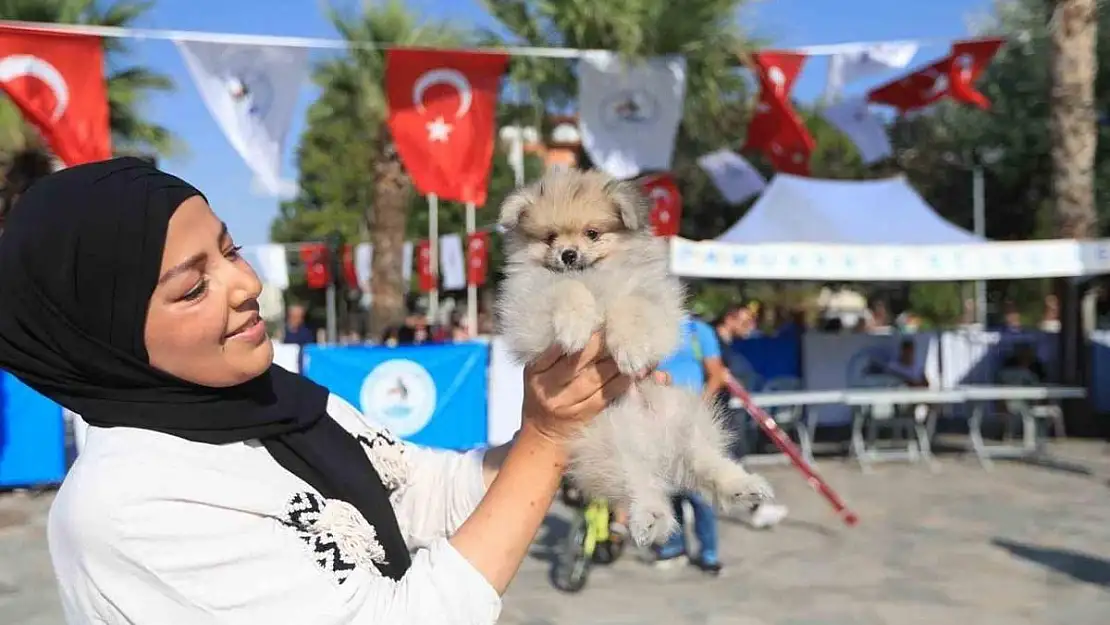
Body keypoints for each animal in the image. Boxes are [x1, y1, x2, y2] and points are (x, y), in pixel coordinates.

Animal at [497, 168, 772, 546]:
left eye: (592, 233)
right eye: (550, 237)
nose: (568, 254)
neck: (596, 276)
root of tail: (658, 454)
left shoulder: (658, 305)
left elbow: (630, 305)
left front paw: (629, 350)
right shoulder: (528, 312)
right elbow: (565, 288)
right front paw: (575, 327)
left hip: (684, 419)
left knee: (705, 461)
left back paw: (741, 487)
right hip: (609, 450)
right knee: (637, 485)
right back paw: (651, 517)